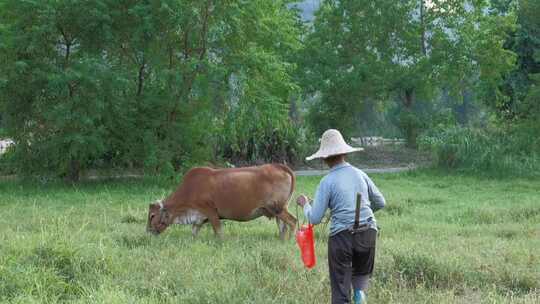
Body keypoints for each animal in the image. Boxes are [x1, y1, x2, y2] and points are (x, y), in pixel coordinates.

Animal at [146, 164, 298, 240]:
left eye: (152, 215)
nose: (147, 231)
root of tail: (279, 166)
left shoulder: (211, 212)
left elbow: (218, 232)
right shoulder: (198, 218)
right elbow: (194, 232)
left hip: (277, 208)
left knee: (293, 221)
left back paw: (290, 240)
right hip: (278, 210)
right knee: (282, 226)